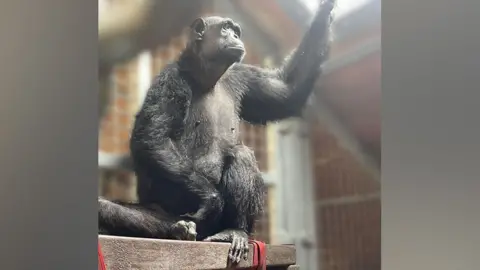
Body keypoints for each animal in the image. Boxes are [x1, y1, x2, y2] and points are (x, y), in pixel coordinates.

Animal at [99, 0, 336, 264]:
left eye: (235, 30)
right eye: (225, 28)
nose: (234, 36)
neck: (206, 76)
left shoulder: (243, 77)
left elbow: (286, 91)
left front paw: (325, 10)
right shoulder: (169, 81)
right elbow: (152, 137)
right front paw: (211, 198)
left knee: (241, 154)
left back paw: (233, 230)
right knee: (112, 208)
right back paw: (177, 230)